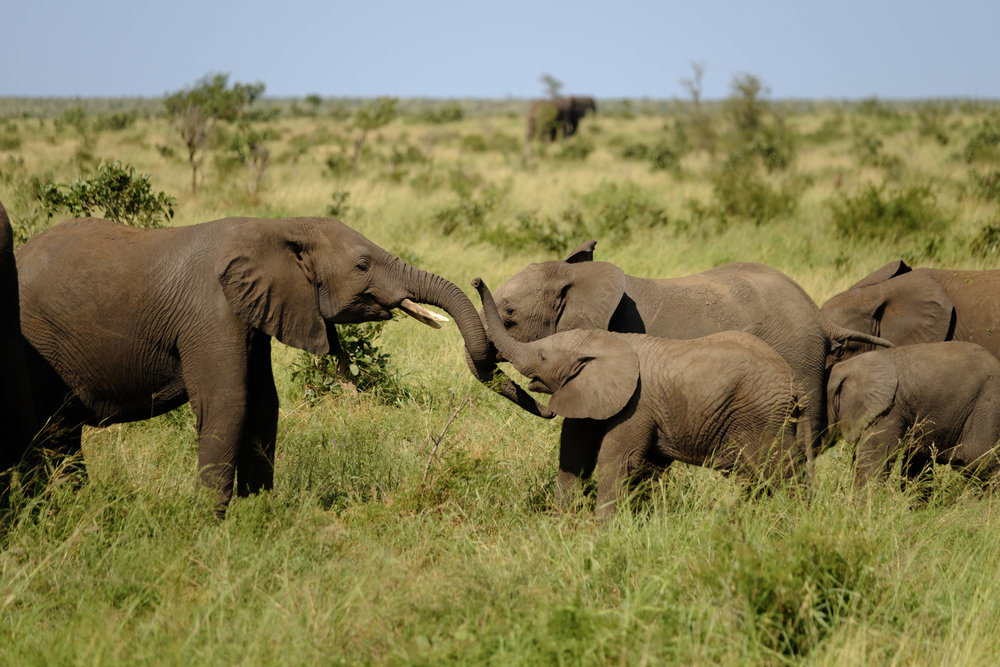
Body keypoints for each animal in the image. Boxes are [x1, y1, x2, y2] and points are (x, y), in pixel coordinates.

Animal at [472, 276, 808, 516]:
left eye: (542, 357)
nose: (475, 281)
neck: (608, 343)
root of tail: (793, 385)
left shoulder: (636, 406)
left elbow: (617, 461)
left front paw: (601, 536)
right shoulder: (593, 392)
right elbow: (575, 451)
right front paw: (561, 524)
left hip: (763, 418)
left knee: (777, 472)